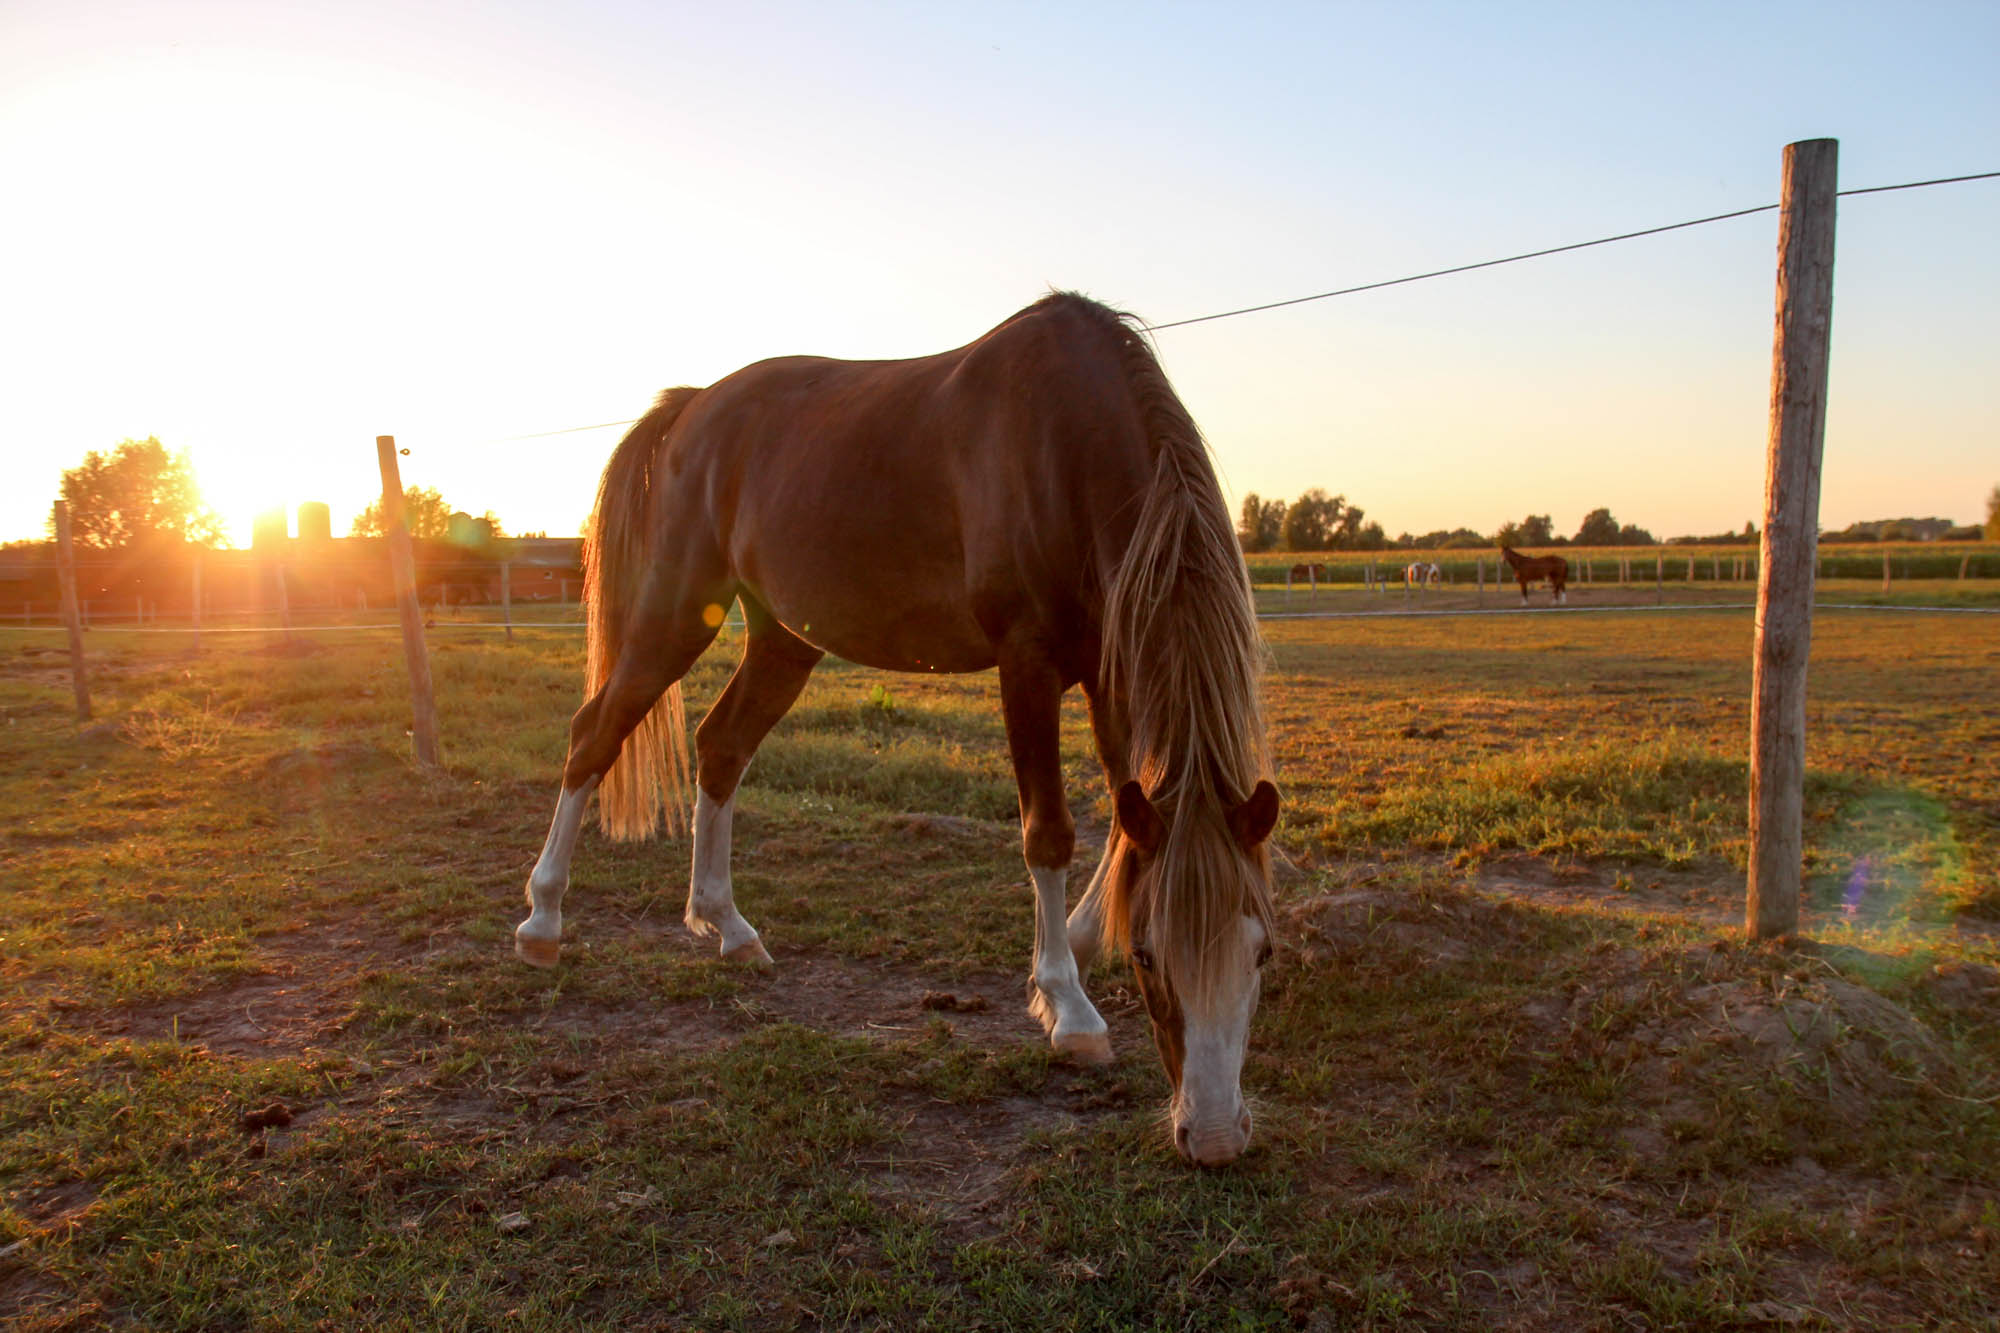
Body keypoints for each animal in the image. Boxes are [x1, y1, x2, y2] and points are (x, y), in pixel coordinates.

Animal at [516, 294, 1280, 1160]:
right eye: (1151, 957)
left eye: (1264, 950)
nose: (1214, 1135)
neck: (1064, 438)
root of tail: (692, 407)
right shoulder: (1027, 662)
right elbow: (1048, 833)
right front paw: (1067, 1005)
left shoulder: (1112, 666)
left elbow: (1124, 820)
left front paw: (1082, 943)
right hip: (678, 607)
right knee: (595, 732)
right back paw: (543, 919)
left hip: (783, 638)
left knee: (720, 747)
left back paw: (727, 925)